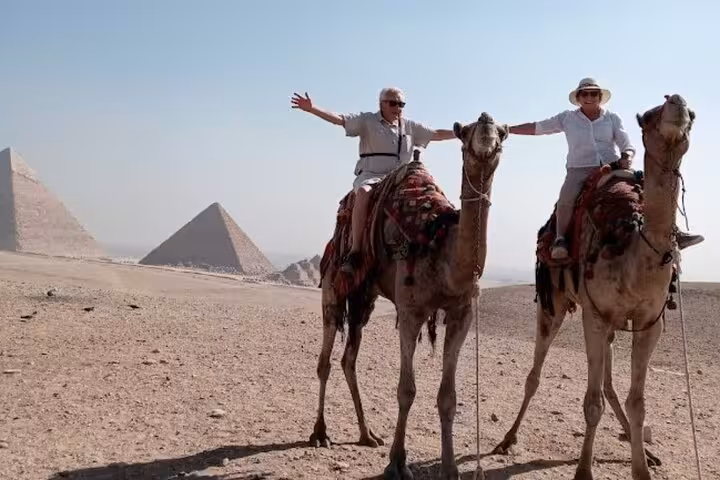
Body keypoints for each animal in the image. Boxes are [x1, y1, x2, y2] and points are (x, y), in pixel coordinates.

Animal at [310, 112, 508, 480]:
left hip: (364, 299)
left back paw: (367, 434)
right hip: (333, 287)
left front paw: (450, 468)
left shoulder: (461, 313)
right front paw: (396, 463)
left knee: (348, 359)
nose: (487, 122)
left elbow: (448, 397)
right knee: (325, 360)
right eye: (465, 133)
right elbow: (407, 390)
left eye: (503, 133)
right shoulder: (411, 311)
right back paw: (320, 433)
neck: (440, 240)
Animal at [492, 94, 695, 480]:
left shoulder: (651, 322)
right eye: (648, 117)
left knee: (610, 385)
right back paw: (507, 438)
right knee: (535, 374)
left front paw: (642, 468)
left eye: (692, 115)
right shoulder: (595, 315)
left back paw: (646, 450)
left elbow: (637, 402)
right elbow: (591, 401)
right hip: (553, 303)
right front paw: (583, 470)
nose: (677, 102)